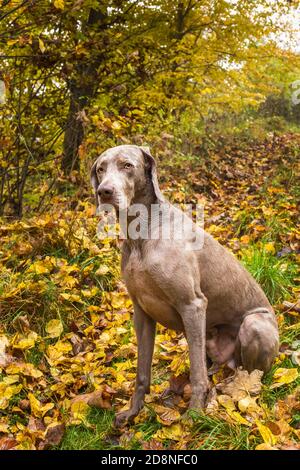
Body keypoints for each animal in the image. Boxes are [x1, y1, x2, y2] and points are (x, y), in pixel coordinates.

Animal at [90, 145, 280, 428]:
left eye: (127, 165)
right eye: (101, 168)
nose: (104, 191)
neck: (142, 235)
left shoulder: (193, 305)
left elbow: (196, 374)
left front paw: (194, 415)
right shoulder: (141, 313)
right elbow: (142, 372)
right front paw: (132, 412)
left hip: (253, 324)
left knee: (248, 374)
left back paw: (232, 388)